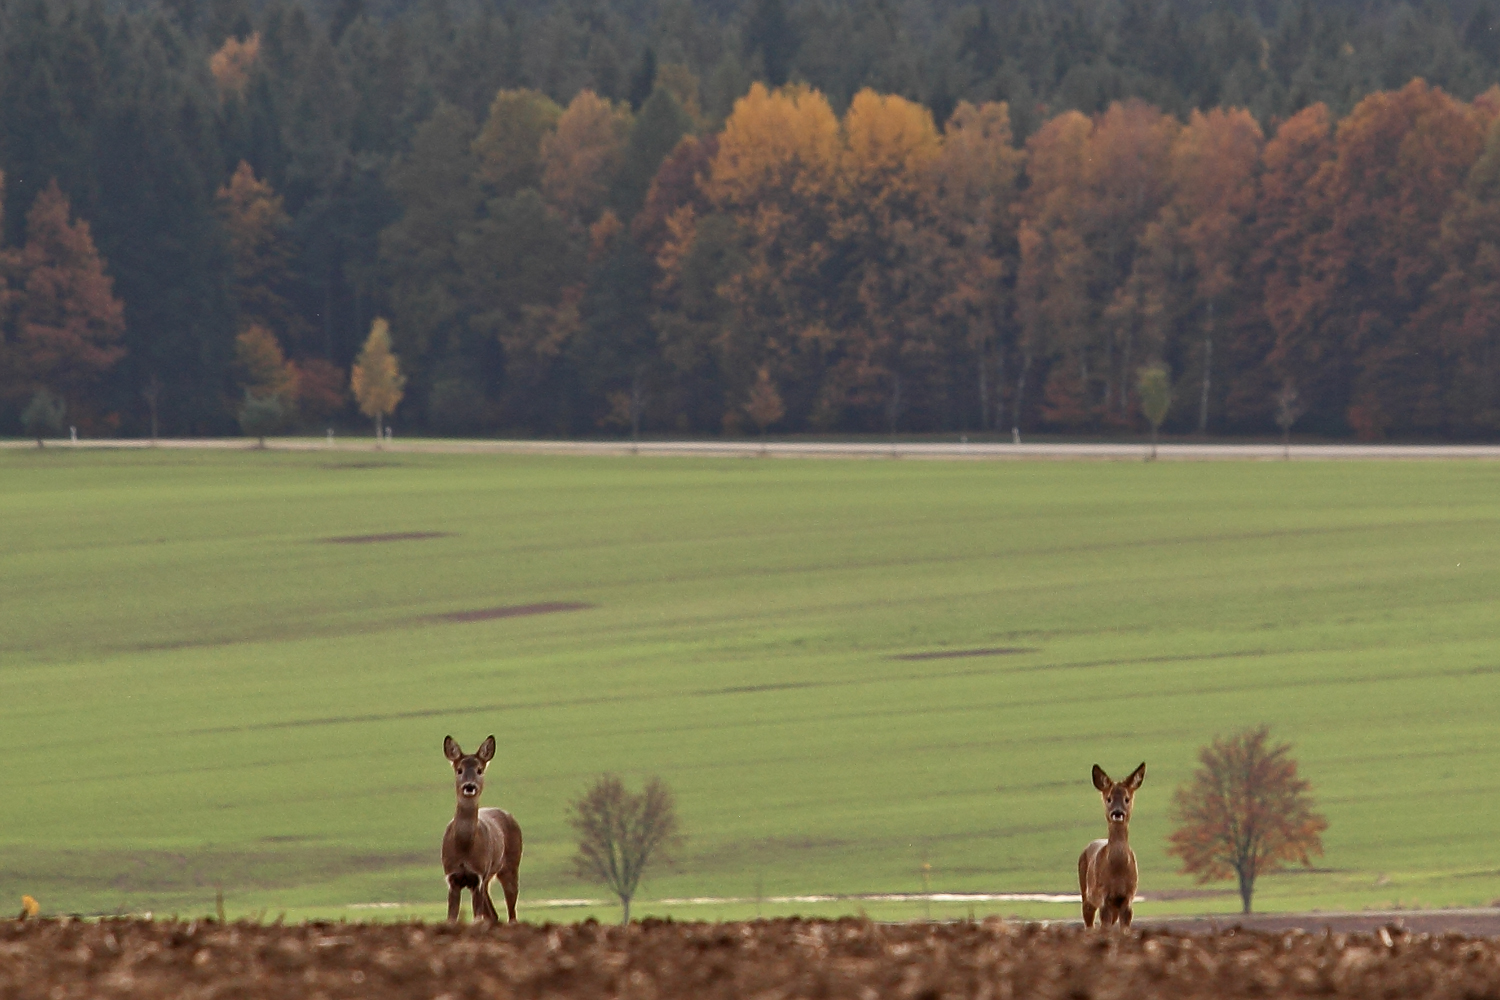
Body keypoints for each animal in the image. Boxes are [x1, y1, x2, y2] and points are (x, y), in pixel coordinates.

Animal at [438, 734, 522, 923]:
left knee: (511, 914)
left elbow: (477, 918)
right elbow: (451, 918)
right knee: (493, 914)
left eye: (479, 770)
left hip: (510, 867)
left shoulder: (477, 878)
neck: (464, 847)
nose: (469, 786)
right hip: (488, 877)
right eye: (459, 770)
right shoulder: (452, 878)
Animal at [1074, 767, 1140, 929]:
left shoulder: (1128, 897)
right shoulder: (1103, 896)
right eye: (1109, 798)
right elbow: (1105, 925)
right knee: (1089, 922)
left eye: (1127, 799)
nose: (1117, 812)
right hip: (1086, 893)